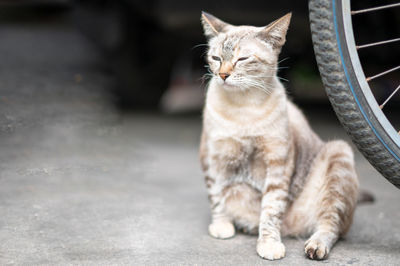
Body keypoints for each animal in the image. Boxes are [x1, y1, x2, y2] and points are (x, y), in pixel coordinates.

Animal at [200, 11, 360, 260]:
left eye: (242, 59)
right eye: (216, 58)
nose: (223, 75)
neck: (243, 109)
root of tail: (291, 229)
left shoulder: (277, 163)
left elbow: (271, 210)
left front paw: (269, 244)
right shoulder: (212, 158)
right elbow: (216, 198)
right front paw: (222, 226)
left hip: (339, 154)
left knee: (330, 224)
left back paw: (315, 246)